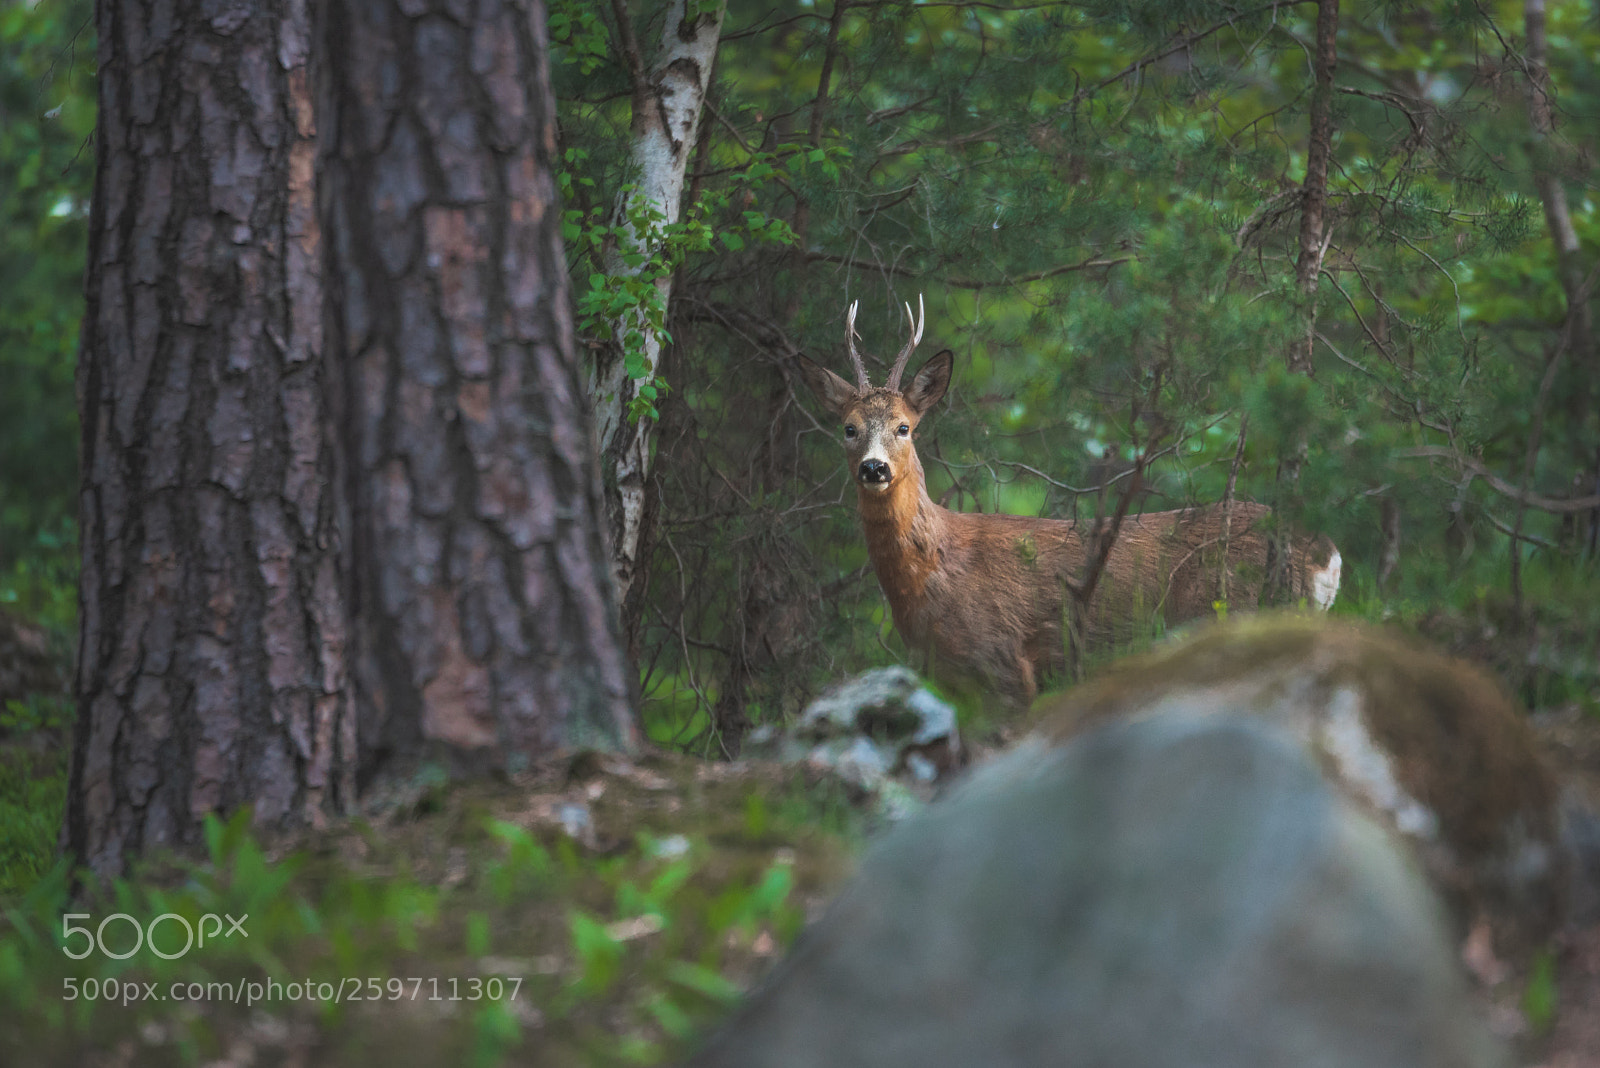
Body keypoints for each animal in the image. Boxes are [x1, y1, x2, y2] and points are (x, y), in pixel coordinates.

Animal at [794, 297, 1342, 710]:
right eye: (848, 428)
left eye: (905, 426)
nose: (874, 469)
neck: (932, 578)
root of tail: (1326, 553)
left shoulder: (1005, 662)